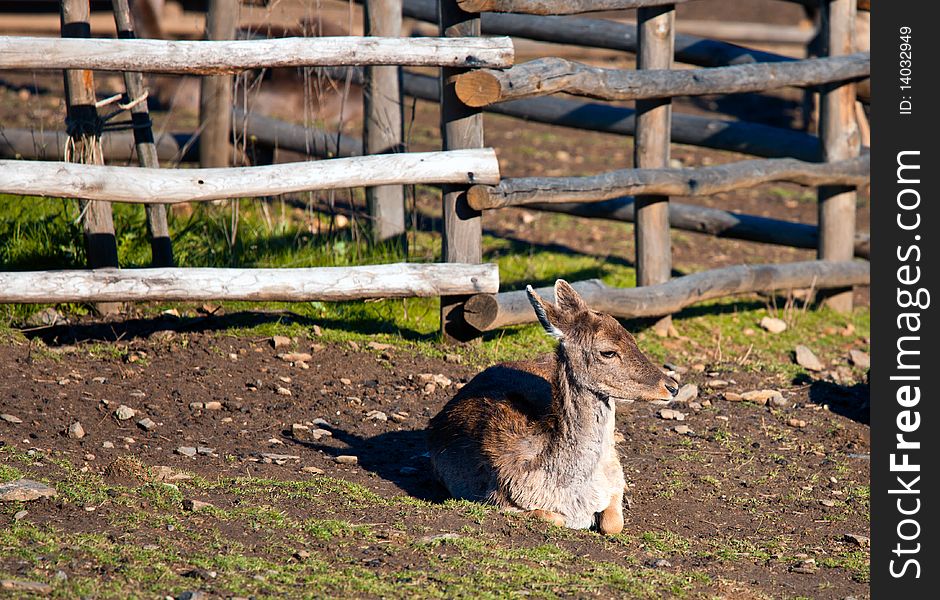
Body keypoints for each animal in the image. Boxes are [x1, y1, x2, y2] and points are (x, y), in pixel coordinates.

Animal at [430, 278, 680, 532]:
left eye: (633, 339)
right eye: (608, 352)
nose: (672, 386)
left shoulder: (613, 479)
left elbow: (613, 523)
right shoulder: (496, 497)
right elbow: (556, 518)